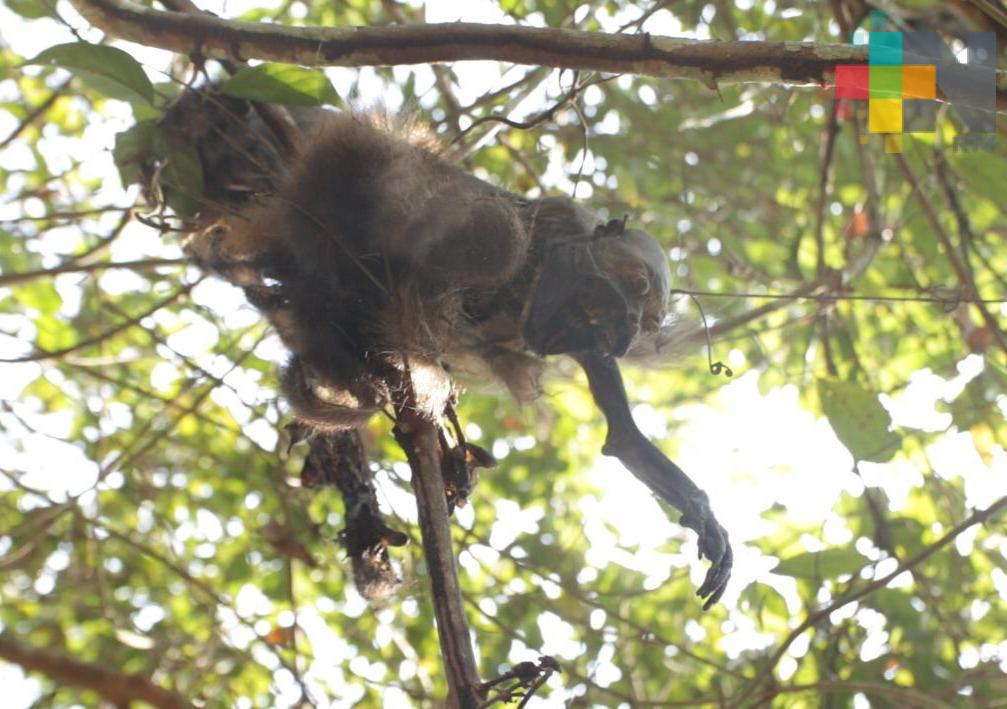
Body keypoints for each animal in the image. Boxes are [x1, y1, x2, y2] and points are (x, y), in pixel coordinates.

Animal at [145, 87, 732, 608]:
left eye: (647, 316)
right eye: (634, 284)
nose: (632, 327)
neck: (530, 280)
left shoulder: (592, 351)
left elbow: (623, 440)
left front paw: (704, 516)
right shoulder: (502, 232)